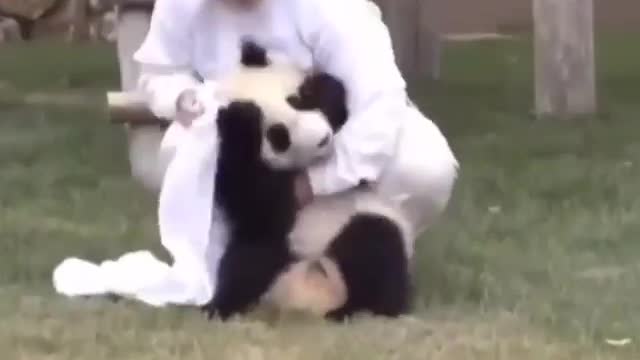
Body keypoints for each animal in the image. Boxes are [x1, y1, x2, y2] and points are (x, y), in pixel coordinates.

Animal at [205, 41, 416, 320]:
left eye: (297, 101)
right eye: (279, 135)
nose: (322, 139)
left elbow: (335, 96)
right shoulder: (237, 176)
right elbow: (256, 198)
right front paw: (244, 119)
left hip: (357, 218)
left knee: (375, 244)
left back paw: (353, 309)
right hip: (283, 247)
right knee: (248, 261)